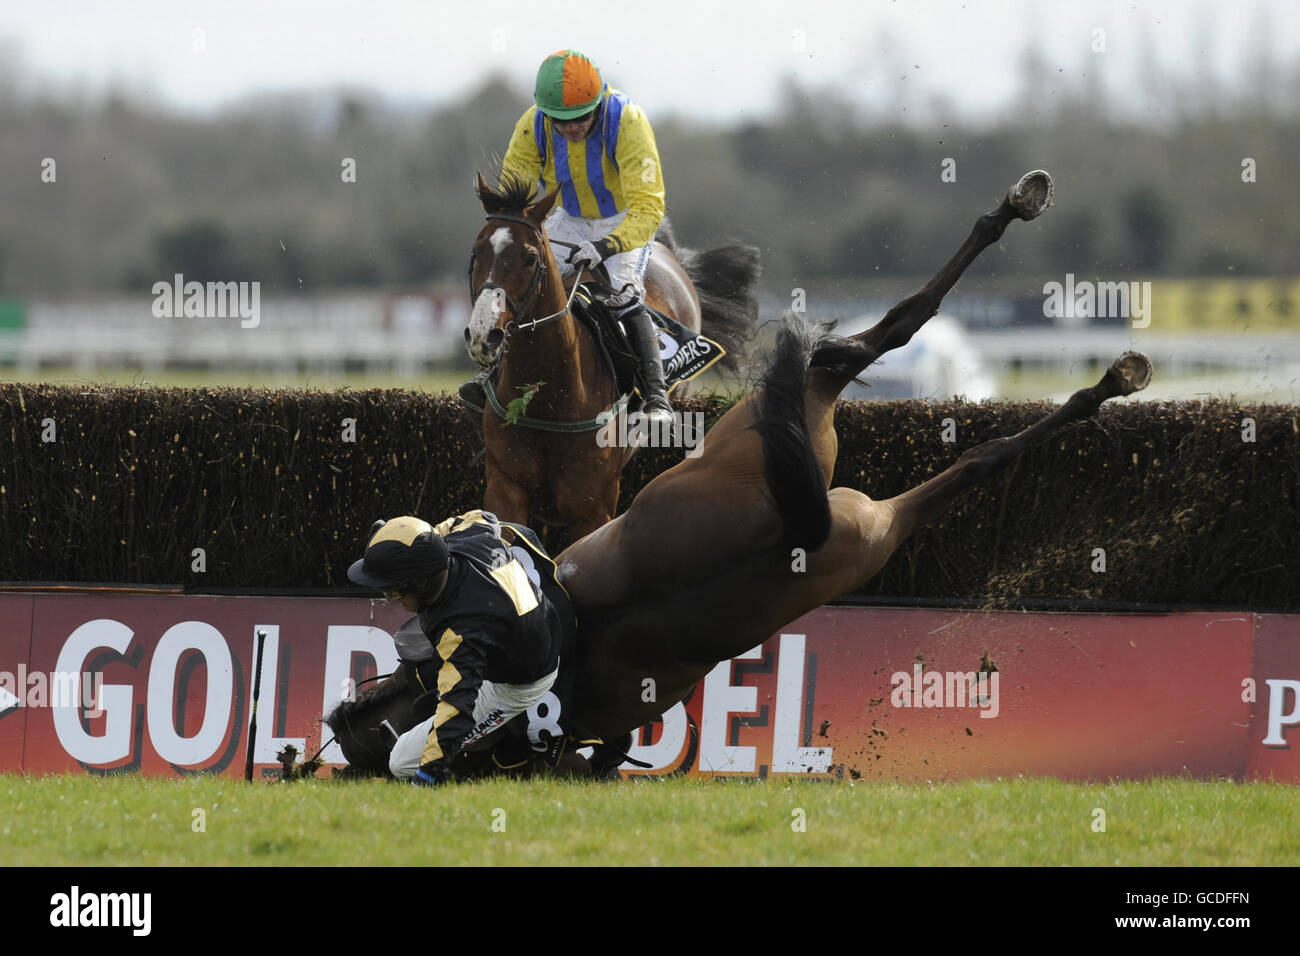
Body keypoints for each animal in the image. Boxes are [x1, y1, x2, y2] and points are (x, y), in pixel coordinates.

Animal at [464, 172, 759, 546]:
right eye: (477, 253)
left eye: (530, 257)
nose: (483, 334)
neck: (549, 398)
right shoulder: (506, 489)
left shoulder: (591, 509)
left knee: (630, 303)